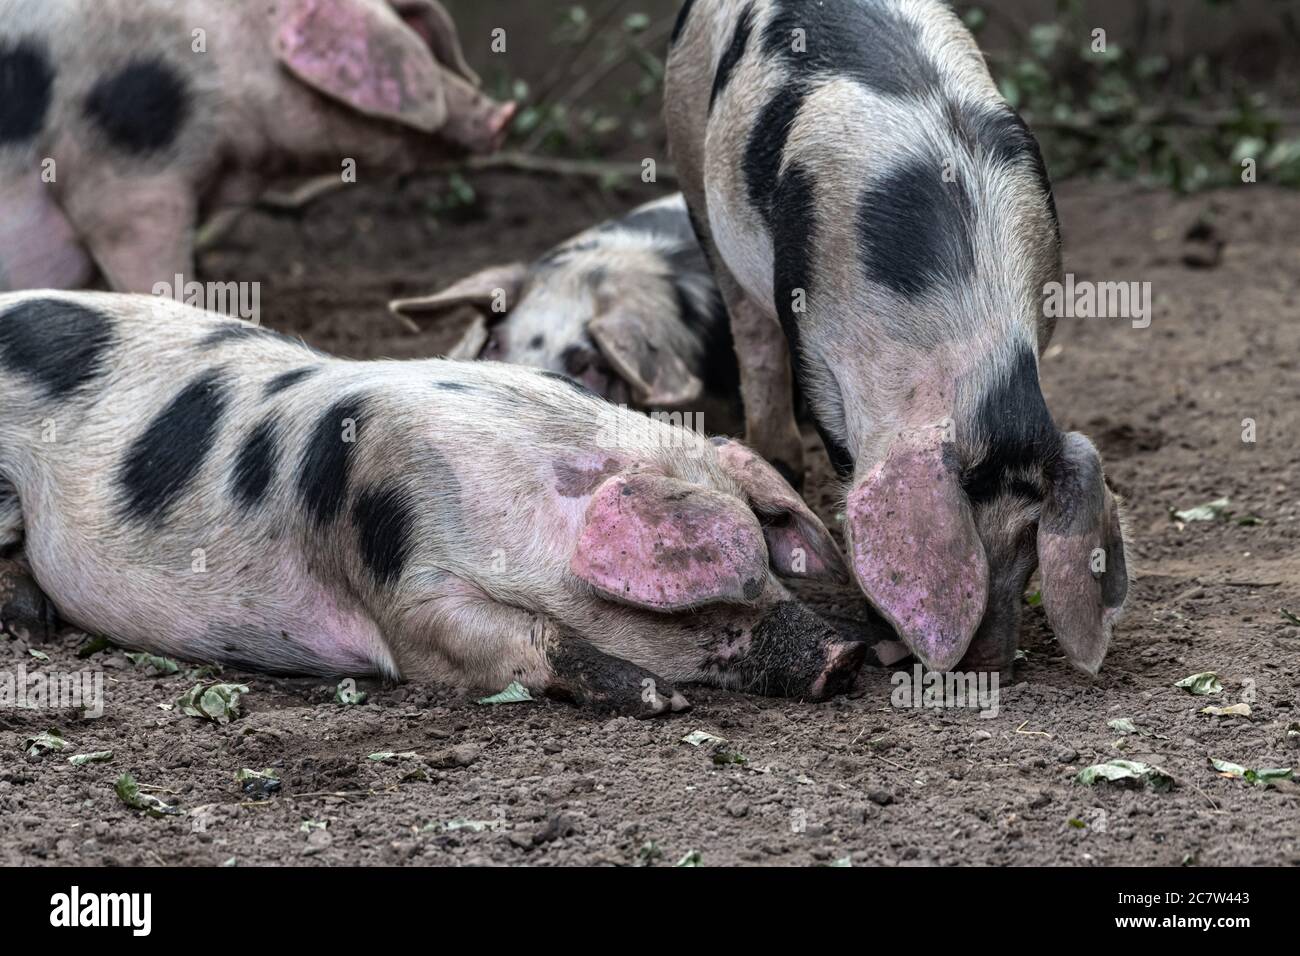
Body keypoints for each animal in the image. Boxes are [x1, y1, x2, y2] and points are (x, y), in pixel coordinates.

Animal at [0, 291, 873, 717]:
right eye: (712, 601)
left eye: (772, 568)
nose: (848, 655)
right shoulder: (401, 578)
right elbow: (512, 636)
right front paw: (659, 697)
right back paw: (28, 620)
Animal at [660, 0, 1128, 671]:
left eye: (1029, 546)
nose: (990, 666)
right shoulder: (817, 345)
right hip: (688, 149)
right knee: (750, 331)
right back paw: (779, 457)